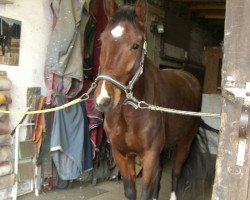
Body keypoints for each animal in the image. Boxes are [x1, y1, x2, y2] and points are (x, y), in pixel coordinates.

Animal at [94, 0, 202, 199]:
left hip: (185, 142)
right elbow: (131, 191)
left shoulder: (150, 155)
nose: (103, 99)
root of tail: (190, 79)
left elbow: (146, 192)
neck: (129, 114)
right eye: (101, 40)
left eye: (136, 45)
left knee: (176, 172)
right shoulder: (121, 154)